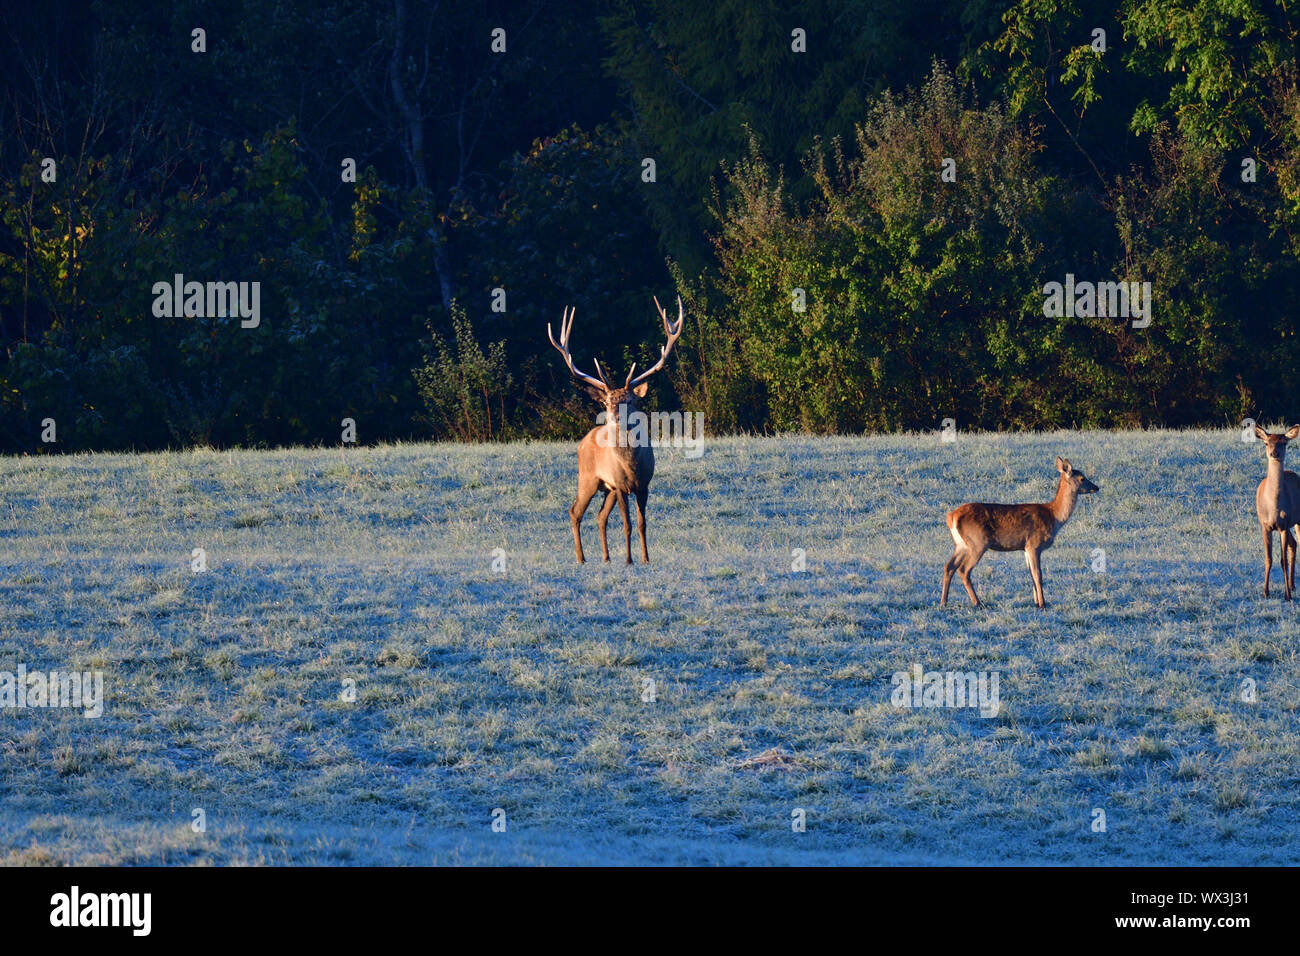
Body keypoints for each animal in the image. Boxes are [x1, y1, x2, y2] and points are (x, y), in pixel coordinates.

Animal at [547, 296, 684, 564]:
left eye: (629, 400)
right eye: (607, 402)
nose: (613, 417)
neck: (632, 466)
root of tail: (583, 441)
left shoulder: (644, 484)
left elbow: (642, 523)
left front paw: (645, 558)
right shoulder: (621, 485)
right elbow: (627, 524)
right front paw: (630, 560)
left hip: (606, 488)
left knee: (600, 516)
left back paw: (606, 557)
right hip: (588, 478)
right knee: (574, 511)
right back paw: (581, 558)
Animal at [941, 457, 1099, 609]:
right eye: (1082, 478)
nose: (1096, 487)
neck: (1054, 516)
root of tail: (952, 516)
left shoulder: (1025, 548)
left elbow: (1031, 575)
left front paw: (1036, 603)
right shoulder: (1034, 544)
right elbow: (1038, 575)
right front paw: (1043, 604)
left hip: (961, 544)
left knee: (949, 566)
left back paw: (943, 602)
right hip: (978, 542)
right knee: (963, 570)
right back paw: (977, 603)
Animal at [1254, 424, 1300, 600]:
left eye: (1284, 443)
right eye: (1267, 443)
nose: (1274, 453)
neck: (1273, 507)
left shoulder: (1283, 525)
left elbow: (1283, 561)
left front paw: (1287, 596)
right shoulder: (1265, 525)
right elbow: (1269, 559)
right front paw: (1265, 592)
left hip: (1296, 521)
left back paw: (1291, 587)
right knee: (1294, 544)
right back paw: (1293, 585)